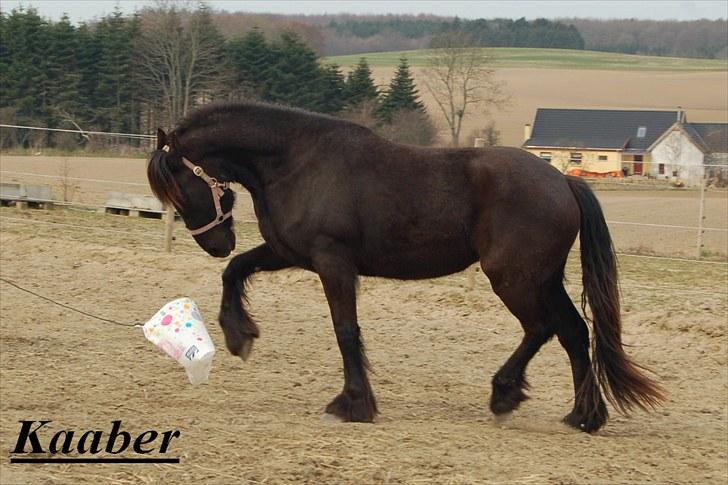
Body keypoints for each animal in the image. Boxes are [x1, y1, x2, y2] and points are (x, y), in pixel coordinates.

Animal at [145, 101, 664, 432]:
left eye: (179, 185)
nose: (215, 242)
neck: (297, 161)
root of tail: (561, 180)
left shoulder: (333, 262)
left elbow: (345, 331)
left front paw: (353, 404)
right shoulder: (292, 253)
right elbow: (235, 270)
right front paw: (239, 334)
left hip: (514, 279)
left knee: (542, 329)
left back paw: (505, 393)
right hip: (543, 279)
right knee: (574, 332)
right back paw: (584, 416)